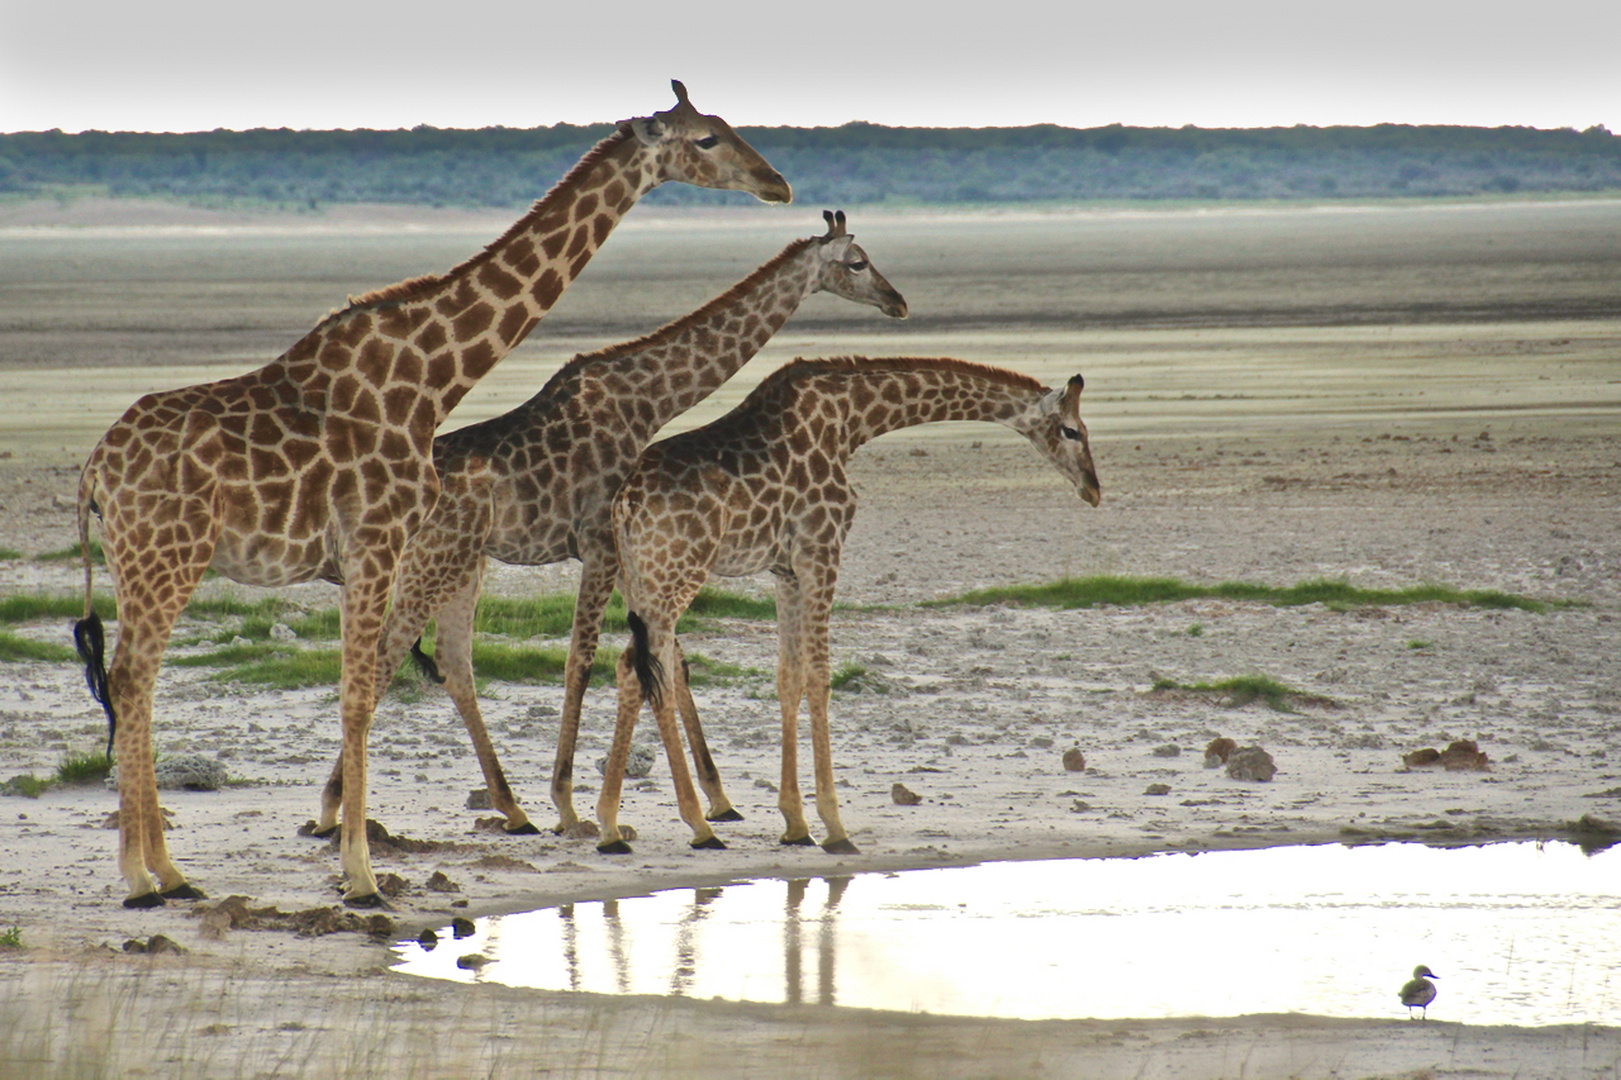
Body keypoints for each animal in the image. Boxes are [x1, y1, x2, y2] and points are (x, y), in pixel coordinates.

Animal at [69, 79, 791, 901]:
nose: (777, 183)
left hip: (143, 564)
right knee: (133, 679)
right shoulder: (377, 543)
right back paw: (142, 875)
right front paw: (361, 875)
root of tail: (96, 469)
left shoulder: (375, 554)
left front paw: (355, 857)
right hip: (169, 558)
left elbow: (367, 690)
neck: (428, 382)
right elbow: (359, 695)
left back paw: (167, 870)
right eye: (706, 138)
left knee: (134, 683)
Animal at [309, 207, 907, 830]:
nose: (897, 301)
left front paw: (717, 798)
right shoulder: (600, 544)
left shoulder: (627, 552)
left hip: (461, 564)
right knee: (391, 651)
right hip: (431, 561)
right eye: (857, 262)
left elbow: (671, 660)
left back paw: (506, 806)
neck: (646, 400)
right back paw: (335, 808)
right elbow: (583, 660)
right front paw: (570, 803)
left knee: (449, 661)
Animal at [596, 356, 1102, 856]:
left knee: (633, 669)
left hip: (639, 582)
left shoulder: (786, 569)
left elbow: (789, 677)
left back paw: (617, 827)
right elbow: (820, 676)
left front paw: (795, 824)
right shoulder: (822, 551)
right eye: (1072, 430)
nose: (1093, 489)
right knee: (653, 671)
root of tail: (623, 505)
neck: (850, 422)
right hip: (678, 575)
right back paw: (687, 827)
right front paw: (835, 827)